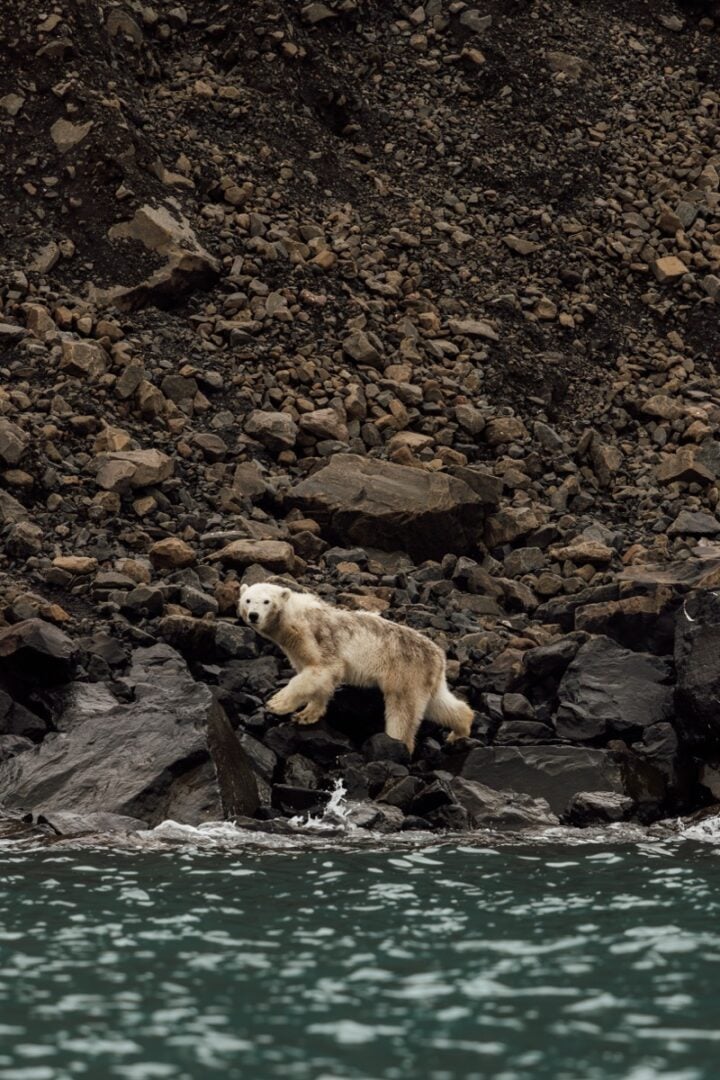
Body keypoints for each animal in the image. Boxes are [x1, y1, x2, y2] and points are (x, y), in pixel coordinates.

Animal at [238, 581, 473, 752]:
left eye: (266, 601)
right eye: (247, 600)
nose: (253, 615)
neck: (295, 619)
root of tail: (439, 656)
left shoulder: (318, 639)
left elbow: (322, 670)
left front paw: (277, 703)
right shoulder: (296, 649)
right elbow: (319, 680)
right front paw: (306, 714)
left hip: (406, 672)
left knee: (403, 710)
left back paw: (396, 743)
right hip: (425, 677)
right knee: (438, 704)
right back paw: (460, 729)